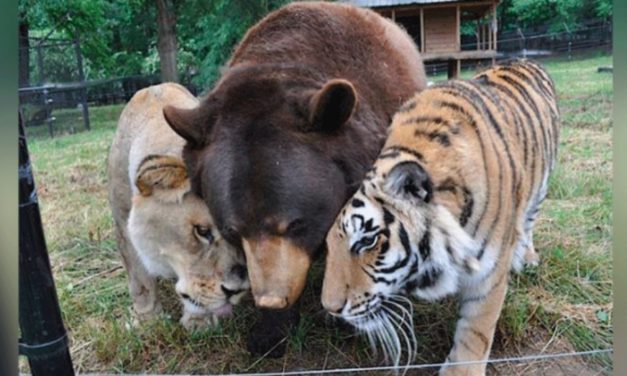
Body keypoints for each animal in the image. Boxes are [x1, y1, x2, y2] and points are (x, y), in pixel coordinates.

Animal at [106, 81, 249, 328]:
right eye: (202, 231)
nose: (237, 290)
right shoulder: (122, 221)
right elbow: (139, 280)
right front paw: (148, 320)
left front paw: (199, 322)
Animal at [322, 60, 560, 374]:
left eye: (367, 241)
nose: (330, 308)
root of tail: (525, 60)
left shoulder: (489, 274)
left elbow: (476, 331)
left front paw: (462, 370)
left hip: (541, 185)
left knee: (530, 220)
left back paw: (528, 257)